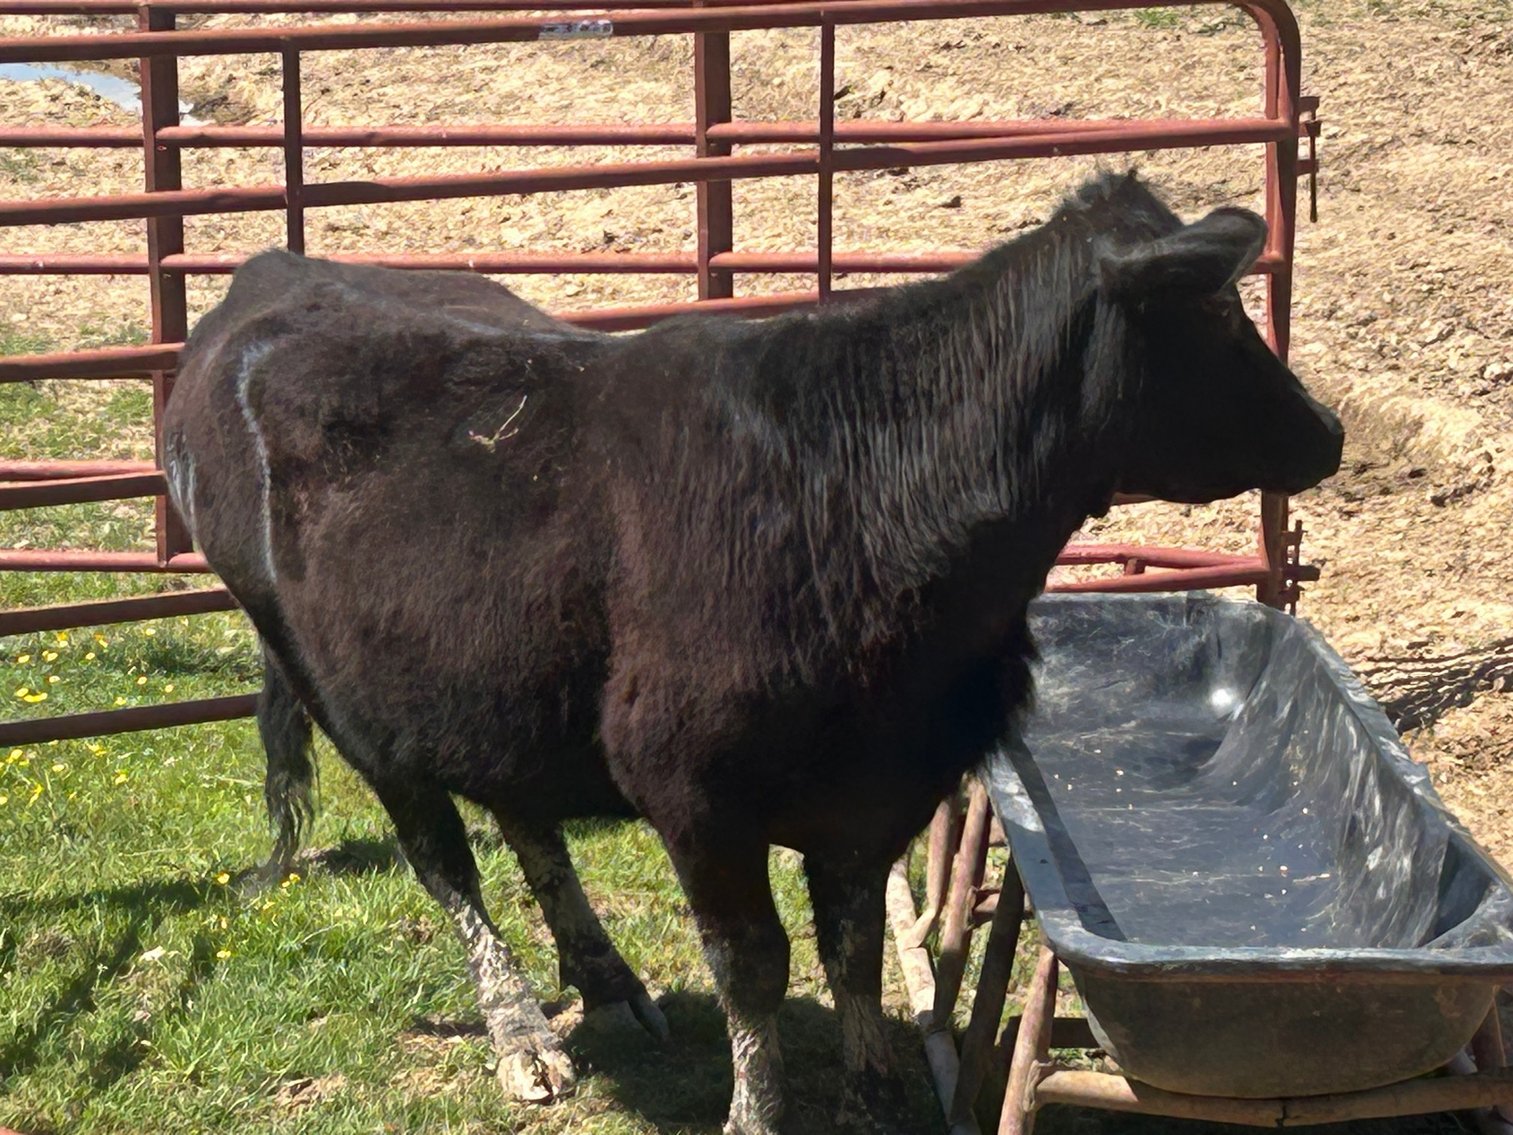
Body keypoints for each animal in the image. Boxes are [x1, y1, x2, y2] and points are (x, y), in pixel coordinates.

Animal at [161, 171, 1343, 1134]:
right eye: (1216, 312)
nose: (1328, 433)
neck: (866, 490)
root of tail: (275, 272)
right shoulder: (696, 793)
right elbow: (754, 966)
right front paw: (757, 1109)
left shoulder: (883, 783)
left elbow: (852, 942)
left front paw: (874, 1090)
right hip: (339, 696)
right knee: (445, 859)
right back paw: (522, 1034)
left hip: (489, 683)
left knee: (528, 821)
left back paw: (606, 981)